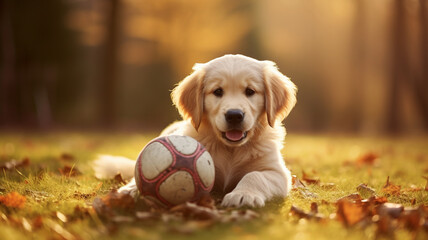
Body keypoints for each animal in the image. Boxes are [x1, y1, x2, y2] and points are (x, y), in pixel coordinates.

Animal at [93, 53, 298, 207]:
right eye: (217, 91)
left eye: (250, 91)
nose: (234, 115)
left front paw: (243, 194)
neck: (230, 150)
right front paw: (131, 189)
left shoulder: (278, 173)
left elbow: (254, 175)